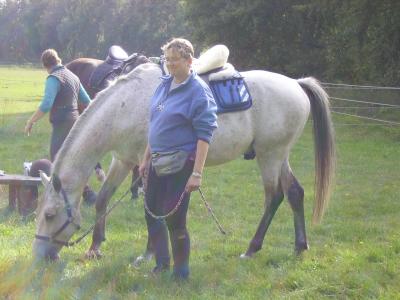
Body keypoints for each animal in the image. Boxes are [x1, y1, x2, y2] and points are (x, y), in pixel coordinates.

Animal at [33, 62, 334, 262]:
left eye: (49, 215)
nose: (40, 256)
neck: (125, 107)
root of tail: (296, 83)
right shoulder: (122, 160)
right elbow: (103, 199)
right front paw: (95, 247)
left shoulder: (147, 165)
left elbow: (152, 209)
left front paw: (148, 253)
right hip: (279, 155)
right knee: (295, 193)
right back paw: (300, 245)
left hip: (269, 155)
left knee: (274, 197)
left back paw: (251, 248)